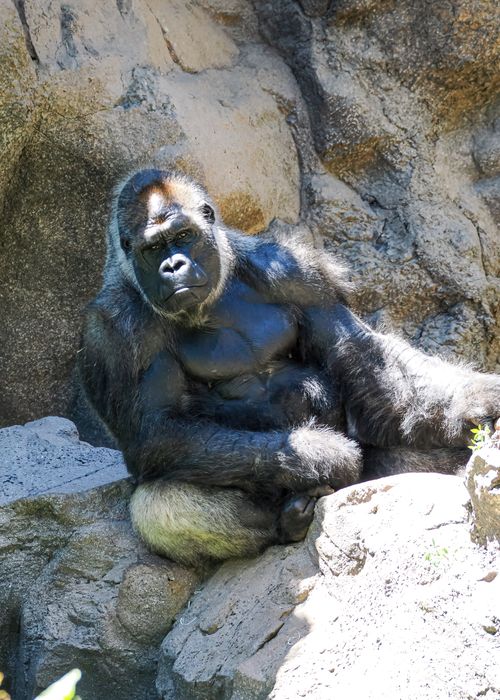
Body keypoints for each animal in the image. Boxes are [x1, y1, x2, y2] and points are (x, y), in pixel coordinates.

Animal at [79, 168, 500, 567]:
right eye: (153, 249)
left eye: (184, 235)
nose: (173, 265)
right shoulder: (116, 331)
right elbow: (157, 430)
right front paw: (320, 454)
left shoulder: (295, 273)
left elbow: (369, 362)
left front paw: (479, 402)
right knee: (158, 503)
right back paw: (288, 520)